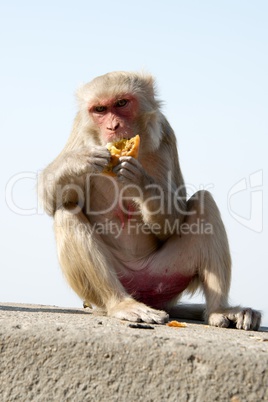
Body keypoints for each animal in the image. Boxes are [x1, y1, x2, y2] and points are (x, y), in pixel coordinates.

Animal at [39, 71, 262, 330]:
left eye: (122, 103)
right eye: (100, 109)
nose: (113, 126)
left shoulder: (165, 134)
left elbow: (172, 222)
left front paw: (141, 184)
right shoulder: (79, 132)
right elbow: (52, 199)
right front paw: (78, 161)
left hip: (165, 274)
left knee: (204, 203)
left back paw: (219, 310)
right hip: (113, 283)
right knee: (66, 212)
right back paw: (121, 303)